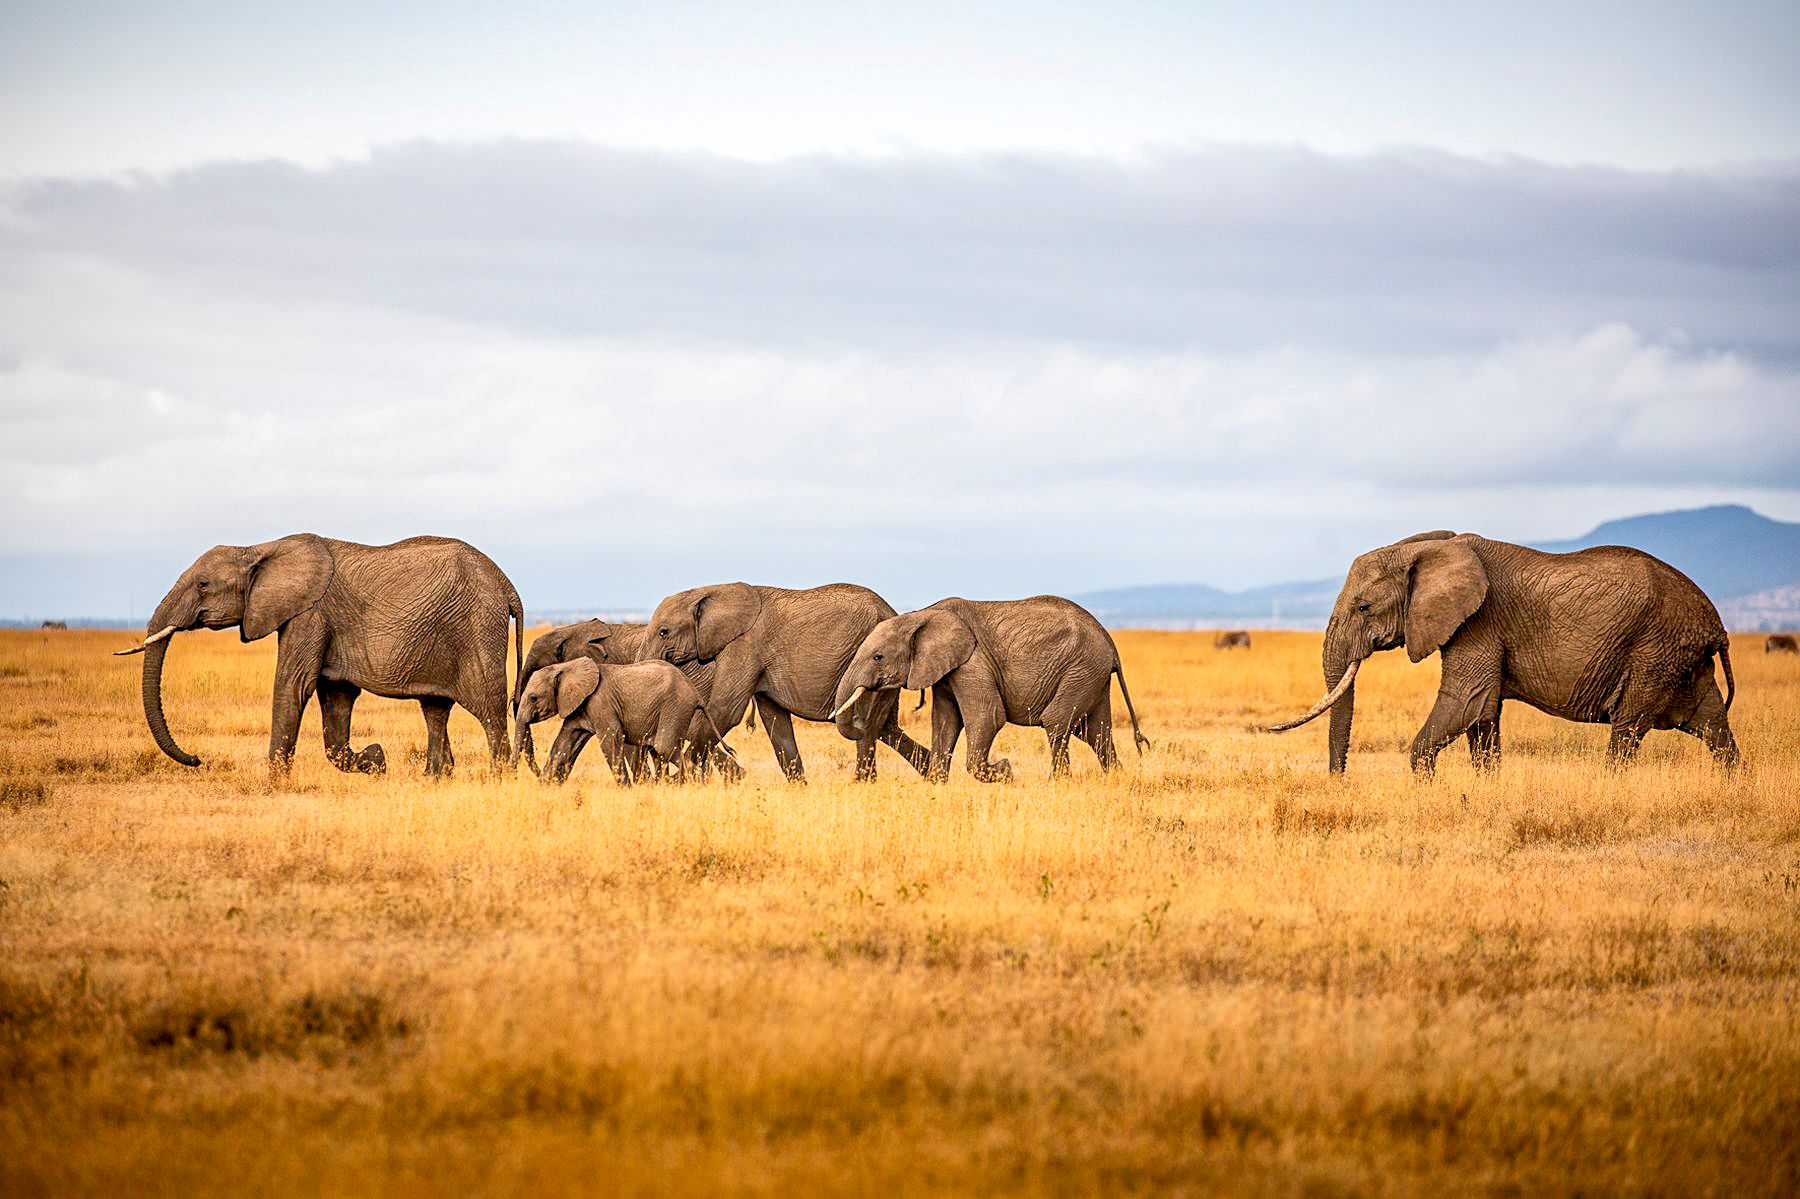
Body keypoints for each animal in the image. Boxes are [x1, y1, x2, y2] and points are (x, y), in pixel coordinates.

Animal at [116, 534, 522, 776]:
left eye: (203, 584)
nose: (197, 759)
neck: (258, 548)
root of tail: (507, 586)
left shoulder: (308, 615)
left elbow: (292, 684)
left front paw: (276, 783)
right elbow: (336, 697)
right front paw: (376, 760)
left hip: (478, 629)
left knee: (489, 710)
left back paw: (498, 779)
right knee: (435, 709)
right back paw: (434, 778)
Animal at [511, 619, 739, 781]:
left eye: (533, 698)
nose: (512, 775)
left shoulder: (602, 700)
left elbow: (613, 741)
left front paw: (632, 785)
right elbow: (565, 741)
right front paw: (547, 784)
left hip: (682, 700)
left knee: (666, 746)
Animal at [640, 582, 933, 782]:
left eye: (664, 632)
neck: (712, 590)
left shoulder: (744, 647)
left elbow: (725, 711)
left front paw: (682, 778)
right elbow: (776, 723)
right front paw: (799, 787)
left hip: (876, 660)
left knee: (870, 725)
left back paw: (863, 784)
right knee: (884, 728)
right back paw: (932, 773)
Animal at [828, 596, 1150, 782]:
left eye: (878, 657)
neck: (920, 615)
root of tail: (1110, 643)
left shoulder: (973, 662)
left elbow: (988, 717)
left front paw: (1005, 771)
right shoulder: (947, 672)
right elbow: (945, 722)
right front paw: (937, 784)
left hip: (1081, 668)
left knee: (1058, 722)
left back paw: (1058, 783)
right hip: (1091, 675)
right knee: (1095, 731)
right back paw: (1116, 779)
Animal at [1268, 531, 1738, 775]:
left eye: (1364, 607)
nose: (1339, 781)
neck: (1432, 547)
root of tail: (1715, 623)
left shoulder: (1479, 622)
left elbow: (1463, 703)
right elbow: (1483, 716)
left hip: (1655, 651)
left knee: (1628, 728)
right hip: (1680, 658)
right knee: (1713, 724)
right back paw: (1732, 784)